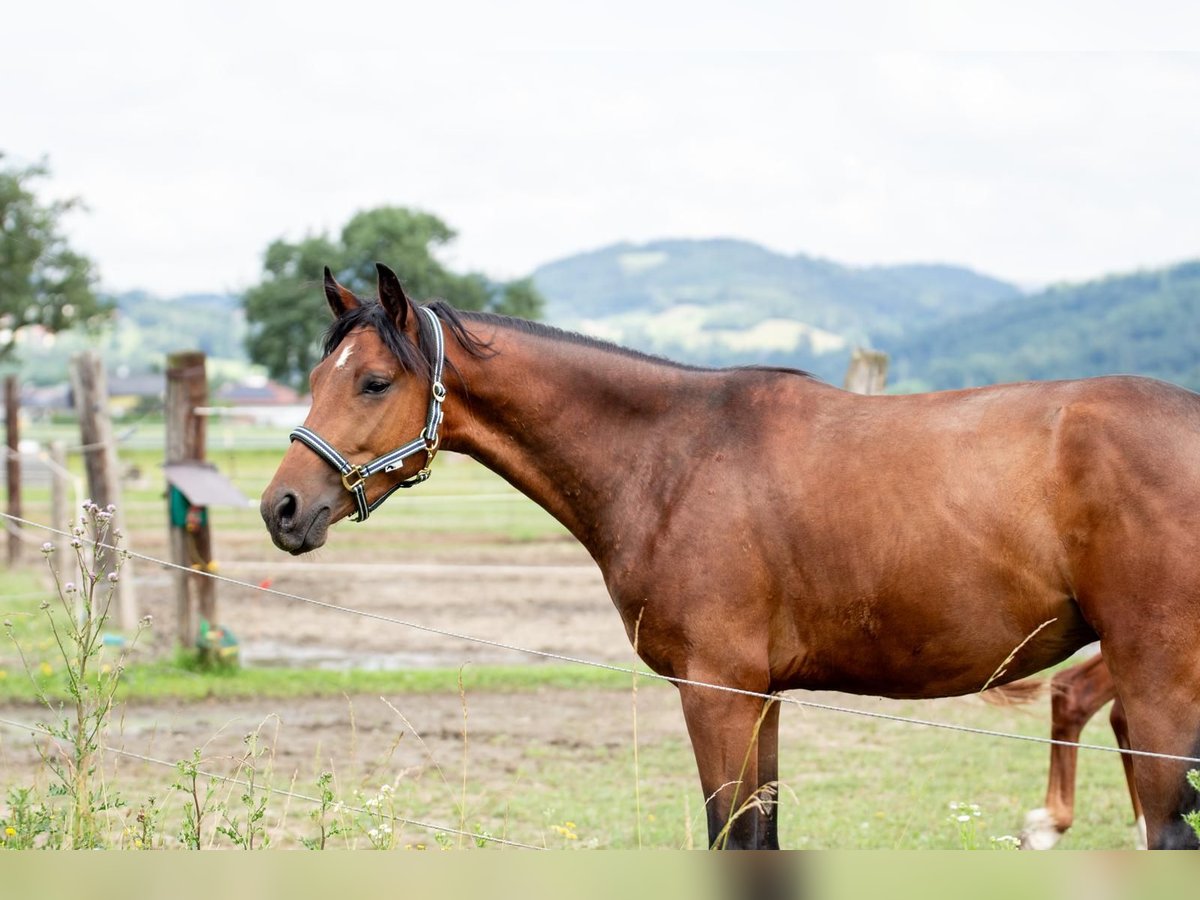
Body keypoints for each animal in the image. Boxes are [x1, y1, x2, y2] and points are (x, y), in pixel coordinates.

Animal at [262, 264, 1200, 849]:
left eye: (373, 382)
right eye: (313, 378)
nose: (283, 508)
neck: (673, 456)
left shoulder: (718, 694)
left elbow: (733, 839)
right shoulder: (762, 698)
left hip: (1157, 685)